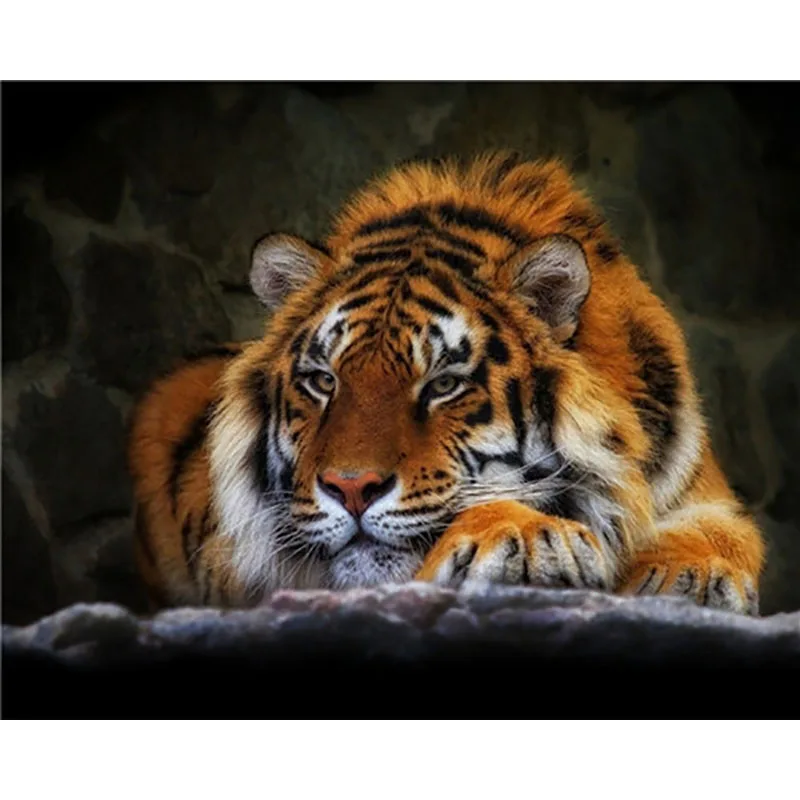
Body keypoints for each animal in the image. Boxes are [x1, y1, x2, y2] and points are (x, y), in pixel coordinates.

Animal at [128, 150, 765, 616]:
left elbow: (722, 534)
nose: (350, 488)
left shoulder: (703, 493)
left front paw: (687, 576)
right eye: (323, 381)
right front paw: (529, 537)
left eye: (442, 385)